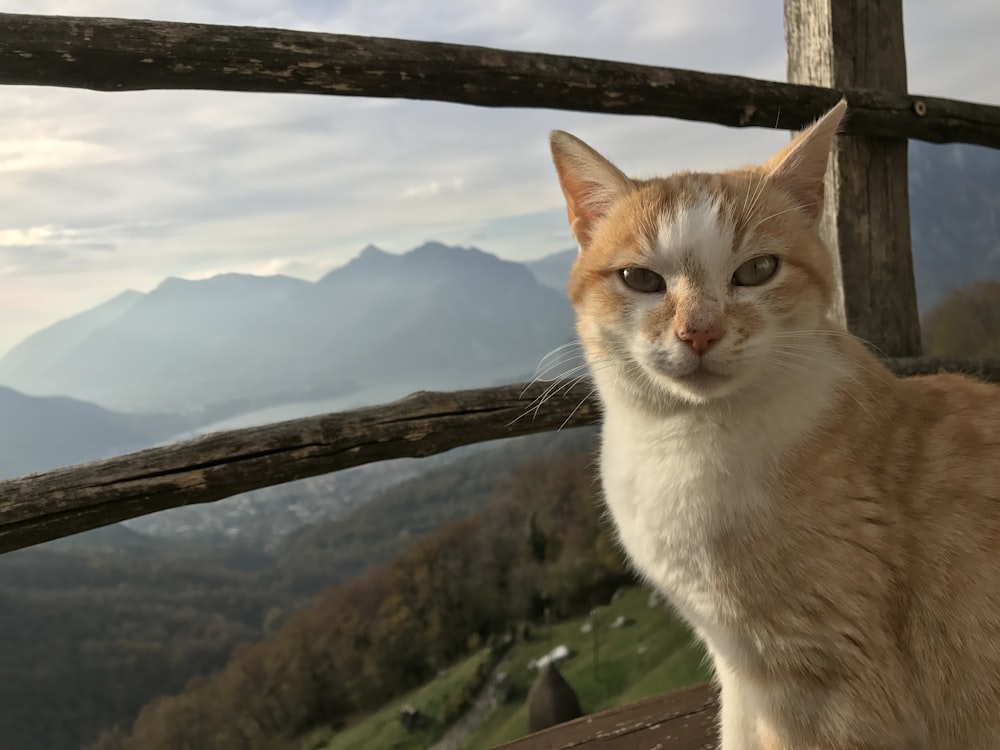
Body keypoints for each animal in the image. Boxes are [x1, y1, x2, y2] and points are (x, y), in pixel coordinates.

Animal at [552, 101, 1000, 750]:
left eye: (758, 270)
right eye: (640, 280)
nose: (699, 331)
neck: (683, 443)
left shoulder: (828, 676)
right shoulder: (736, 664)